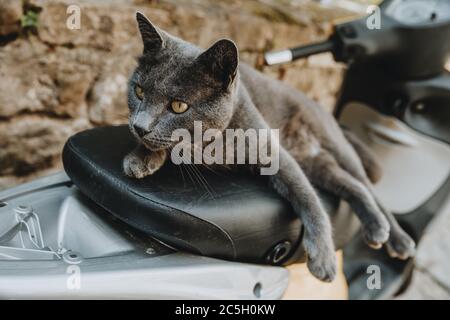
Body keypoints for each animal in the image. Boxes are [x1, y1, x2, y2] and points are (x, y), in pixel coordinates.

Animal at [123, 12, 414, 282]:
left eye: (178, 105)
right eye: (139, 91)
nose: (139, 126)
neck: (214, 143)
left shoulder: (274, 152)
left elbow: (308, 198)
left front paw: (323, 258)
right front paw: (140, 158)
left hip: (334, 144)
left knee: (366, 185)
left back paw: (394, 237)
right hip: (315, 162)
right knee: (352, 186)